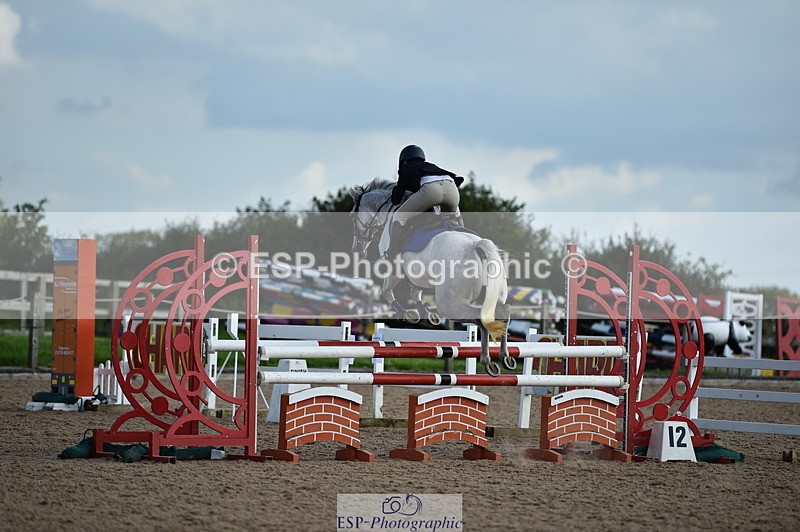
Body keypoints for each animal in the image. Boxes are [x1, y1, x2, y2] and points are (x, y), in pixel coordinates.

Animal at [349, 178, 513, 375]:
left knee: (481, 319)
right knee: (503, 313)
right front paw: (427, 314)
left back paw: (487, 360)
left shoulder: (396, 271)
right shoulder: (417, 273)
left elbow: (386, 292)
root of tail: (477, 246)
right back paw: (505, 357)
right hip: (493, 296)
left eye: (352, 215)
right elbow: (415, 292)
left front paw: (408, 314)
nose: (357, 249)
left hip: (451, 305)